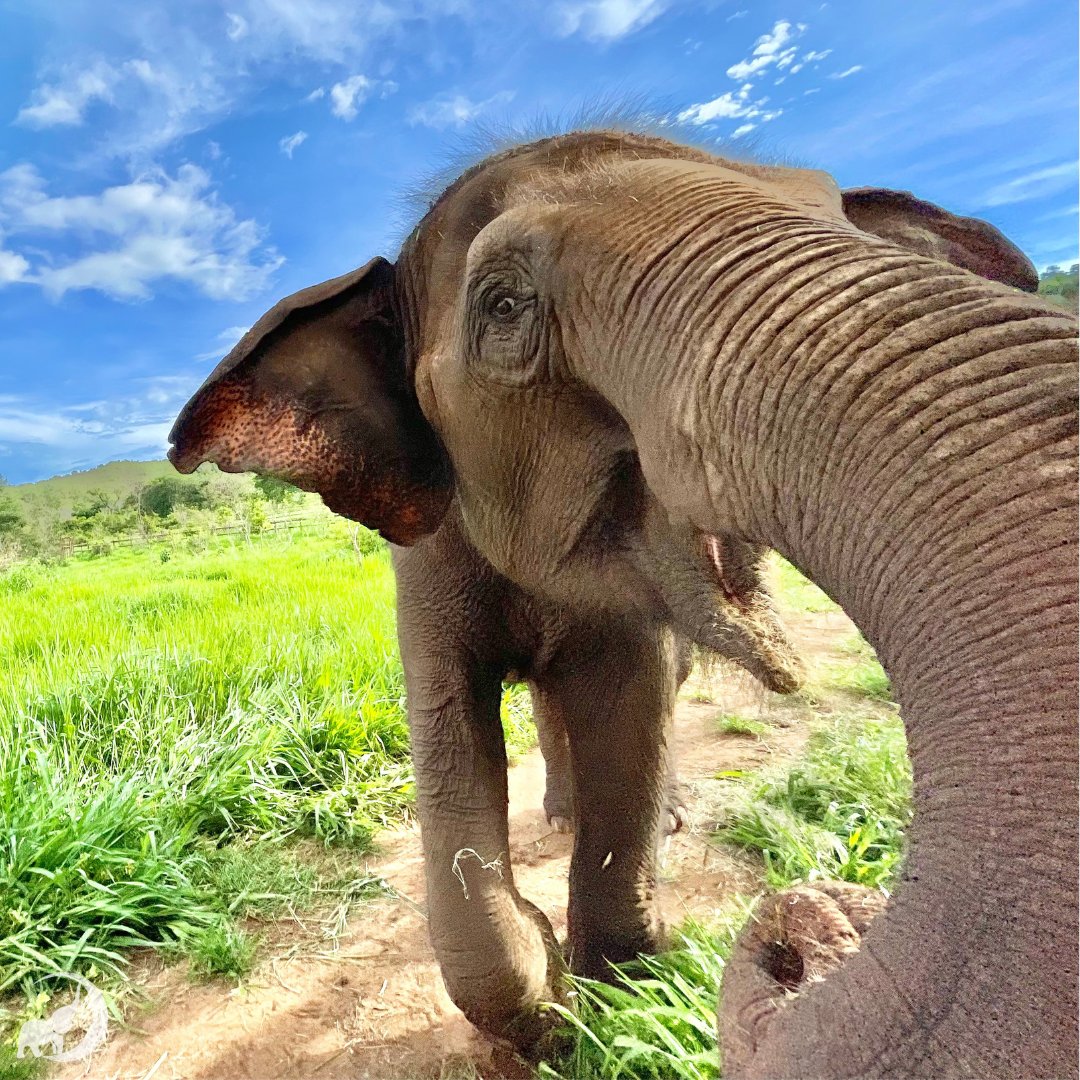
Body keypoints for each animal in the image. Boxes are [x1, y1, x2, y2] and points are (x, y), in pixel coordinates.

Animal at [169, 128, 1077, 1077]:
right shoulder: (424, 560)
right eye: (502, 305)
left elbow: (628, 709)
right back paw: (560, 814)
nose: (802, 938)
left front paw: (615, 997)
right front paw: (546, 999)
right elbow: (450, 718)